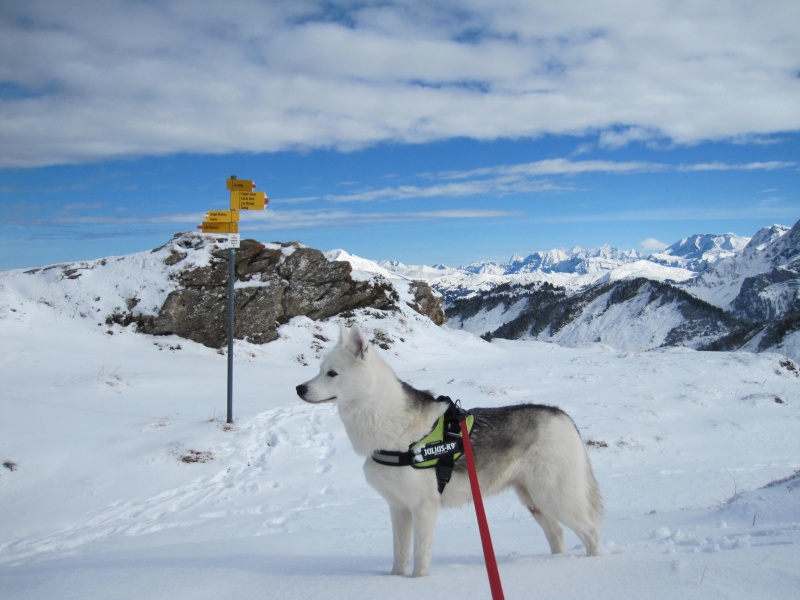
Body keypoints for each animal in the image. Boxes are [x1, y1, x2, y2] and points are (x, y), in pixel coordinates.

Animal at [296, 326, 604, 580]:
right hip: (534, 501)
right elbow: (400, 555)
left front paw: (417, 584)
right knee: (558, 534)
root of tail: (562, 415)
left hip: (555, 497)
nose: (299, 388)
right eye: (319, 369)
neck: (389, 424)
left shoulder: (424, 508)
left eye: (332, 373)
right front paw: (395, 580)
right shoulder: (399, 508)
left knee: (591, 533)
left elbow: (420, 558)